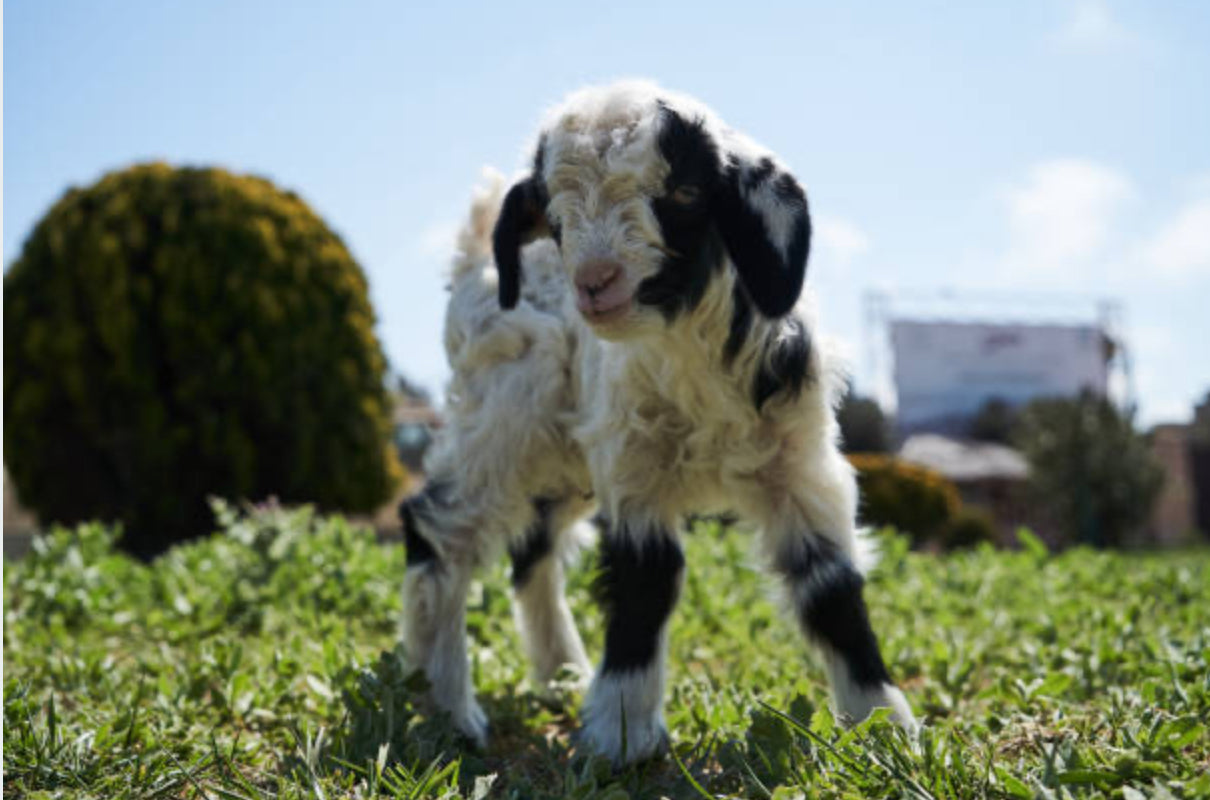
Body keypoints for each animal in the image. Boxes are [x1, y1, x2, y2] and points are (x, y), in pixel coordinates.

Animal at [400, 80, 916, 765]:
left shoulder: (801, 467)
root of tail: (474, 253)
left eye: (685, 193)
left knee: (533, 548)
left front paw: (882, 726)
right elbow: (647, 582)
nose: (595, 283)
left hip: (564, 448)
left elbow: (831, 586)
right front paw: (621, 734)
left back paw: (559, 673)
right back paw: (449, 706)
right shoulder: (634, 468)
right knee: (438, 531)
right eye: (554, 214)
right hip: (502, 414)